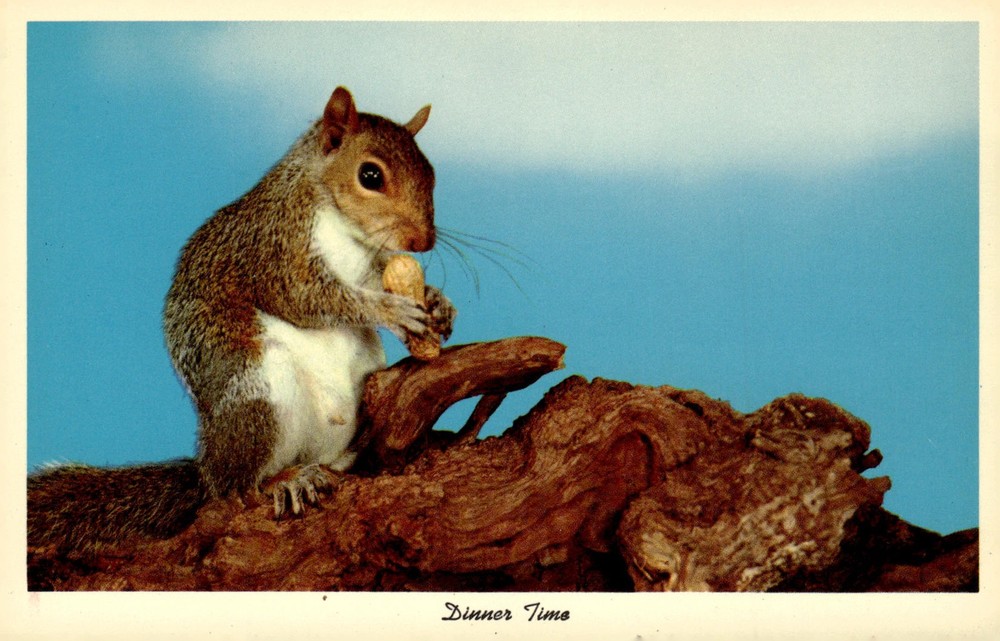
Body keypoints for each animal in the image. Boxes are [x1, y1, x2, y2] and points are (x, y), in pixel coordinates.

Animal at [28, 86, 456, 553]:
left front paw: (437, 302)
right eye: (371, 176)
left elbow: (377, 278)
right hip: (256, 393)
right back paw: (281, 481)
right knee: (238, 487)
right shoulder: (274, 249)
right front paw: (392, 310)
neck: (338, 220)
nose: (422, 241)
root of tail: (207, 469)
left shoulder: (368, 266)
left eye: (432, 173)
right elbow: (308, 298)